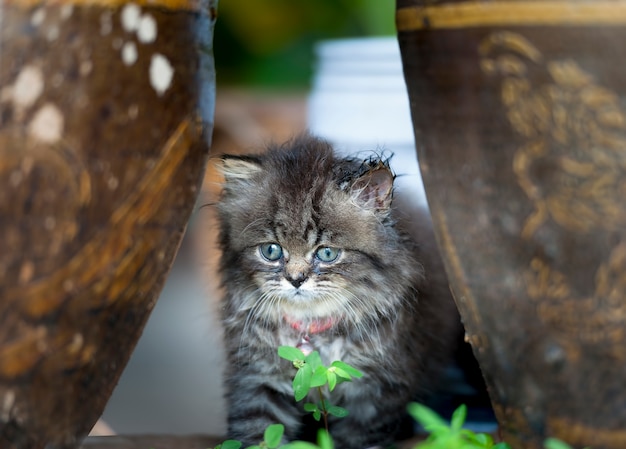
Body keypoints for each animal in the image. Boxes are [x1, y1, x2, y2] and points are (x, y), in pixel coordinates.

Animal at [217, 134, 456, 448]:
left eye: (327, 253)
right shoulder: (256, 379)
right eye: (271, 251)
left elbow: (358, 438)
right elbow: (260, 435)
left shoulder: (376, 393)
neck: (312, 329)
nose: (295, 279)